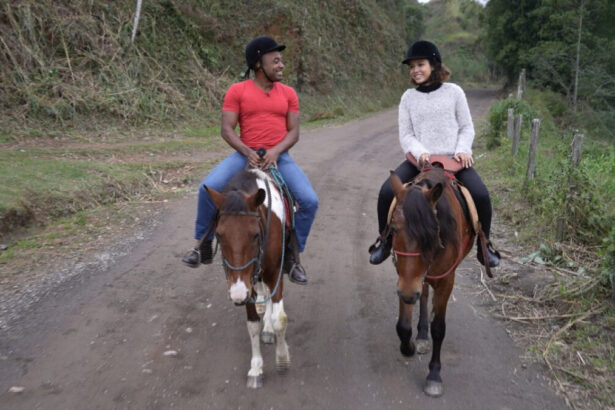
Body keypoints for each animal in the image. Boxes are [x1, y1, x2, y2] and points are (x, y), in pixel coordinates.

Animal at [206, 168, 290, 390]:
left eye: (254, 235)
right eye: (219, 235)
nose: (237, 295)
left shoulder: (275, 272)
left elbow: (280, 319)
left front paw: (282, 359)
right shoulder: (246, 282)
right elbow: (252, 324)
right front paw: (256, 368)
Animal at [390, 166, 476, 398]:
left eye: (432, 233)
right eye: (393, 229)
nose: (408, 293)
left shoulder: (445, 280)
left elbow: (438, 328)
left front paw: (434, 376)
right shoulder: (404, 278)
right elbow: (403, 325)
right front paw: (408, 347)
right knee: (424, 294)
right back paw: (421, 333)